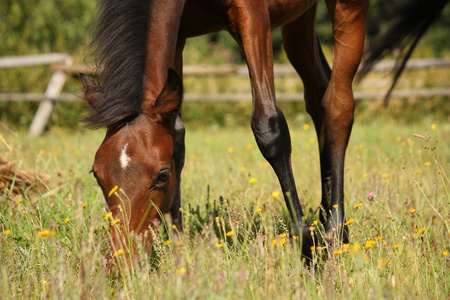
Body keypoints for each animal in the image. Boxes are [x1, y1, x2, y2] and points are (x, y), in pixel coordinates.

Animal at [79, 0, 370, 260]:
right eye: (97, 175)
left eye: (162, 176)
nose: (123, 258)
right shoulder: (179, 33)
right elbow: (178, 136)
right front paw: (178, 247)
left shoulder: (253, 14)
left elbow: (268, 127)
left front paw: (306, 246)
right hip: (299, 20)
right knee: (317, 96)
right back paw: (325, 219)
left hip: (349, 7)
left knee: (337, 104)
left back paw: (335, 233)